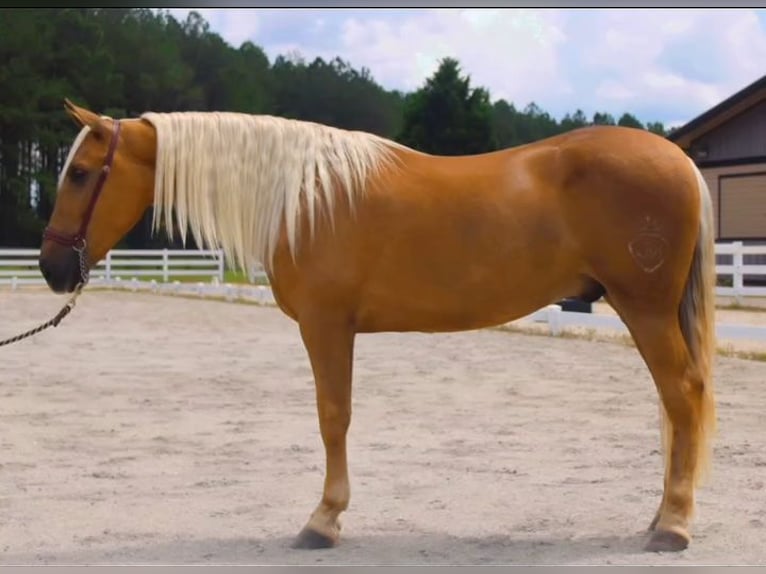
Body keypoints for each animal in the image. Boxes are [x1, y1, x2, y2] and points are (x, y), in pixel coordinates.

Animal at [39, 99, 717, 553]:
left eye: (80, 173)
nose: (50, 267)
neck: (302, 197)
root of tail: (680, 161)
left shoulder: (326, 326)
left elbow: (332, 416)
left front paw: (323, 520)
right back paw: (661, 517)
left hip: (644, 308)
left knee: (682, 397)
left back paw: (673, 525)